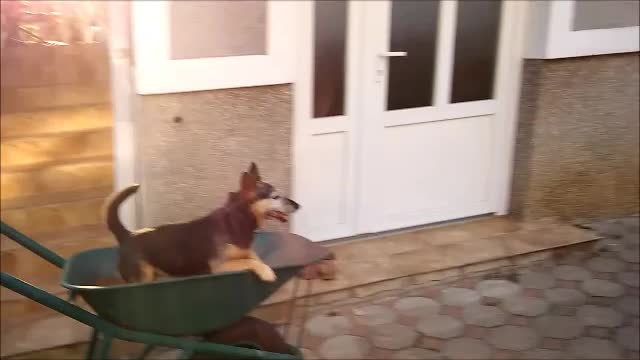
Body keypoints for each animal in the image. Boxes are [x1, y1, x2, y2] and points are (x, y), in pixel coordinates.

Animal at [103, 163, 300, 284]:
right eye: (275, 196)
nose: (298, 205)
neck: (237, 220)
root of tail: (128, 235)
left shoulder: (245, 253)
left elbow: (253, 257)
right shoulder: (219, 267)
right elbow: (251, 262)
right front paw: (266, 271)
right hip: (143, 275)